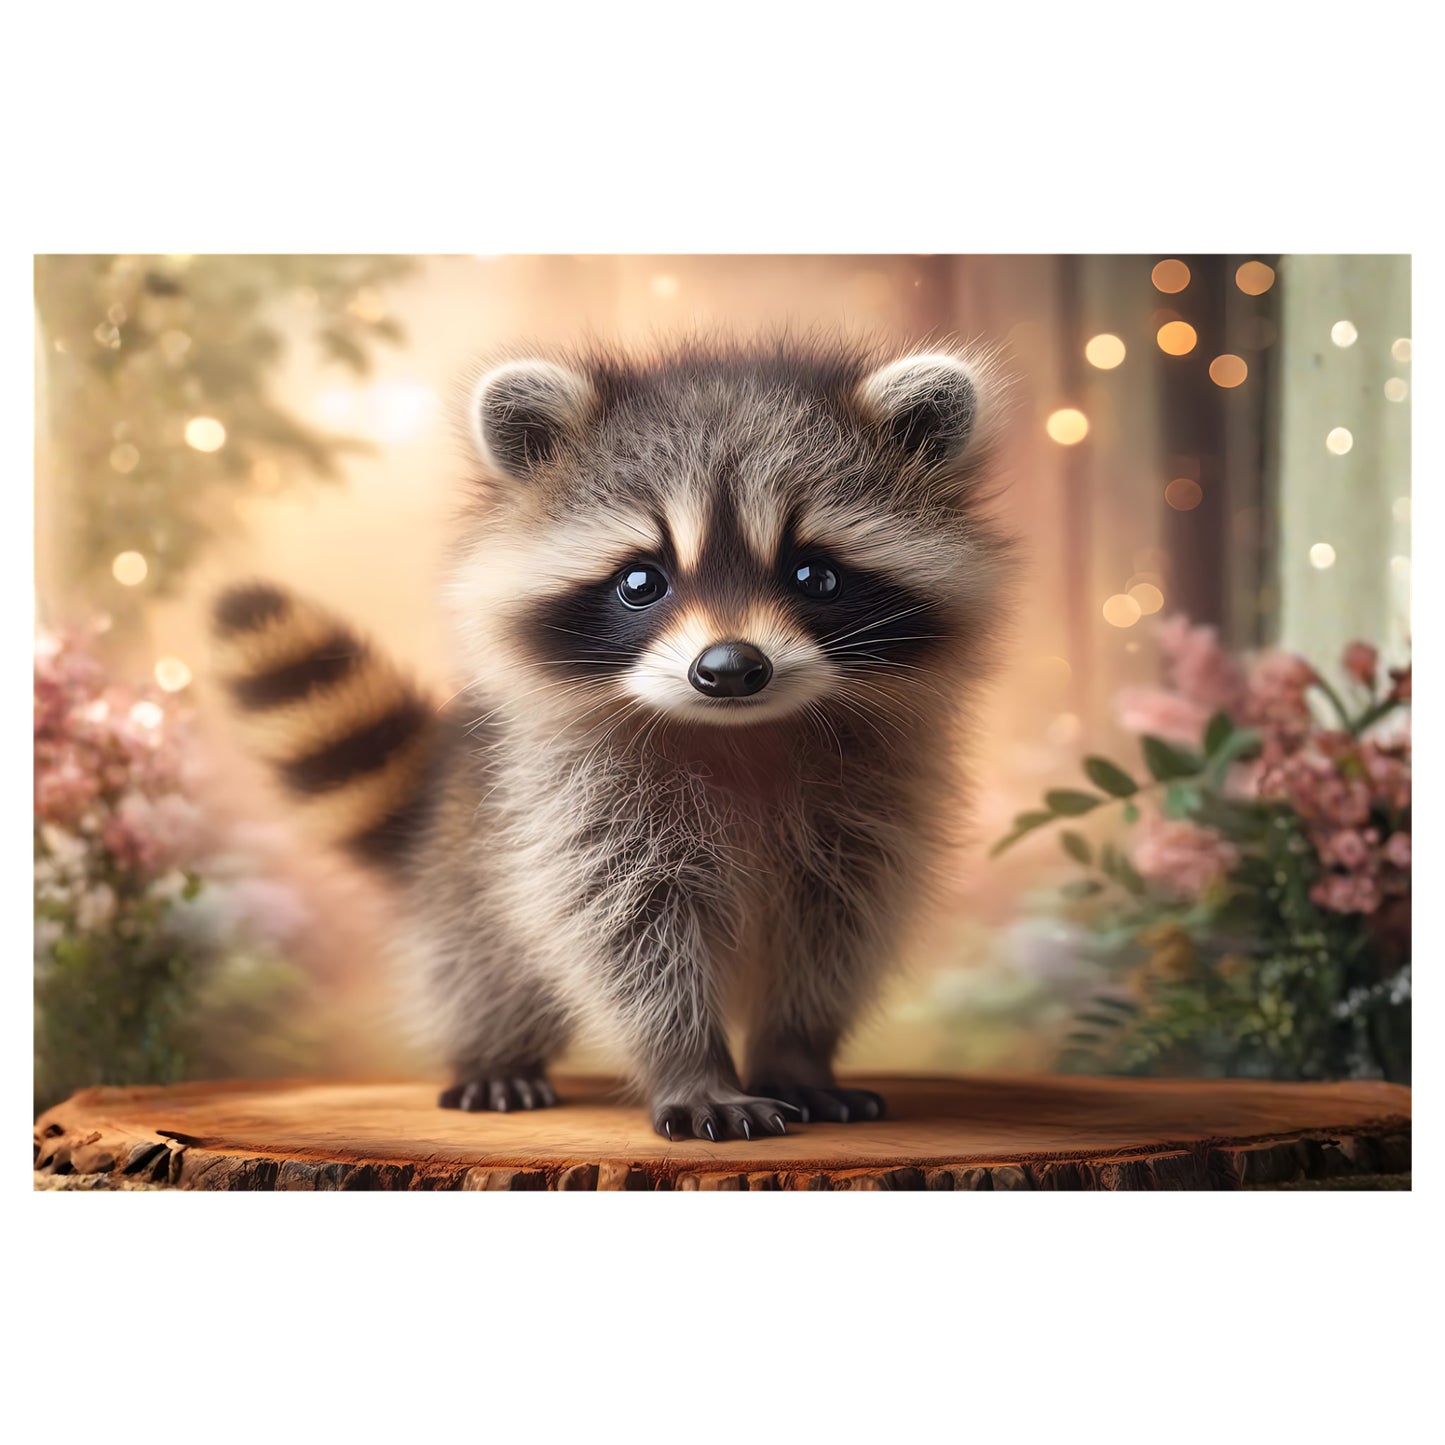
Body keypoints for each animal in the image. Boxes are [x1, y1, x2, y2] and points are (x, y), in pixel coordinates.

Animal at [211, 336, 1014, 1141]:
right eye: (640, 582)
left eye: (813, 575)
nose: (730, 668)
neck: (739, 732)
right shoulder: (575, 798)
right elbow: (622, 930)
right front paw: (689, 1064)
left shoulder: (871, 797)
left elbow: (836, 927)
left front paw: (795, 1052)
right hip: (466, 870)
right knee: (480, 964)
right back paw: (494, 1053)